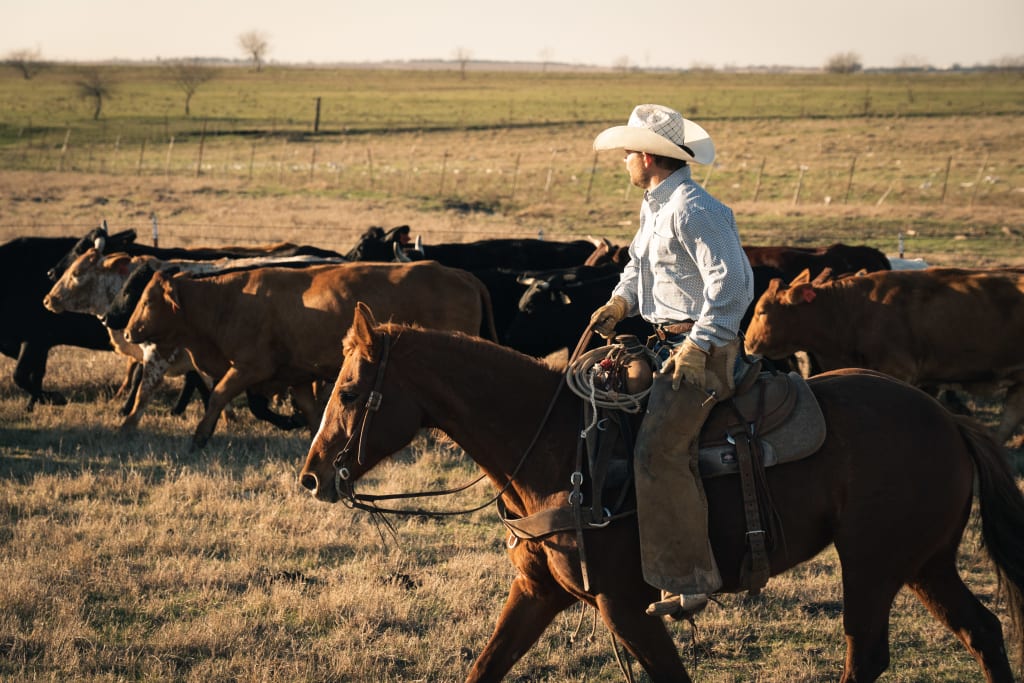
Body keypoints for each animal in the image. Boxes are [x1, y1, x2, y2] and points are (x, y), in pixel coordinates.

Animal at [121, 260, 497, 448]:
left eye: (148, 300)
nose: (126, 331)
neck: (229, 300)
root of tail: (461, 273)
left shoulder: (248, 367)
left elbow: (218, 395)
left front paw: (200, 436)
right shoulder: (297, 377)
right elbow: (314, 411)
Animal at [299, 305, 1024, 683]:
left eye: (351, 391)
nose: (312, 475)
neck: (556, 447)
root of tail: (949, 420)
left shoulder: (627, 606)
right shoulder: (537, 593)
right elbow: (486, 665)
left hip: (873, 564)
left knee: (867, 654)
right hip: (924, 563)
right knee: (982, 631)